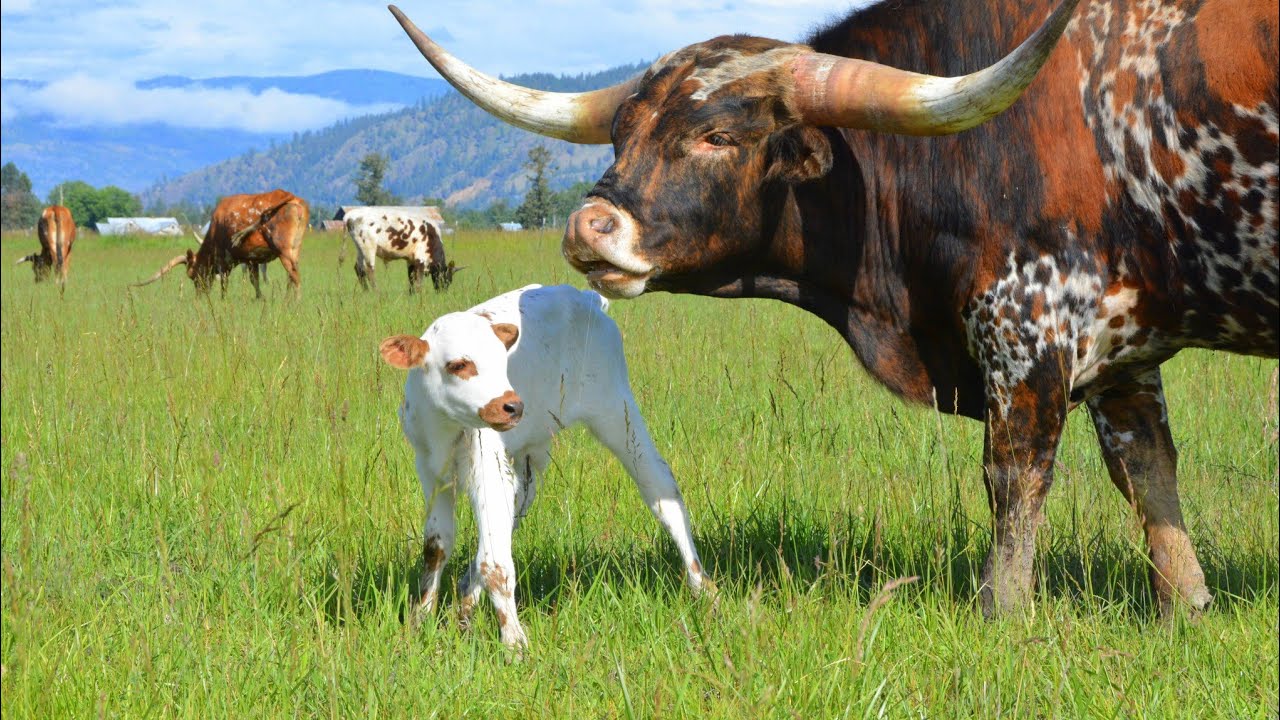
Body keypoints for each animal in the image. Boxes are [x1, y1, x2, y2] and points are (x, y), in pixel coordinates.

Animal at [134, 189, 308, 298]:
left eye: (193, 274)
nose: (200, 295)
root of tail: (290, 196)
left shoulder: (223, 262)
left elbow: (225, 285)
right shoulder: (252, 259)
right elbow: (255, 281)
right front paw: (260, 298)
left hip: (283, 249)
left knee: (294, 275)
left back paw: (295, 303)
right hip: (295, 249)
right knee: (291, 276)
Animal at [380, 285, 708, 649]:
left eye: (502, 362)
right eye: (459, 365)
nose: (512, 406)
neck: (446, 427)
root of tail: (584, 296)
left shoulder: (487, 466)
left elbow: (495, 563)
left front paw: (514, 643)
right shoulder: (431, 470)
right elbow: (437, 547)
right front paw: (419, 622)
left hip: (616, 411)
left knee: (659, 486)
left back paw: (702, 587)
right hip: (526, 458)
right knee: (508, 517)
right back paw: (465, 606)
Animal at [392, 0, 1279, 619]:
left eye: (719, 136)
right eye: (621, 133)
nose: (587, 227)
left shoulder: (1029, 325)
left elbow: (1015, 476)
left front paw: (1003, 611)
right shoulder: (1122, 352)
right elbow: (1147, 471)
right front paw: (1186, 607)